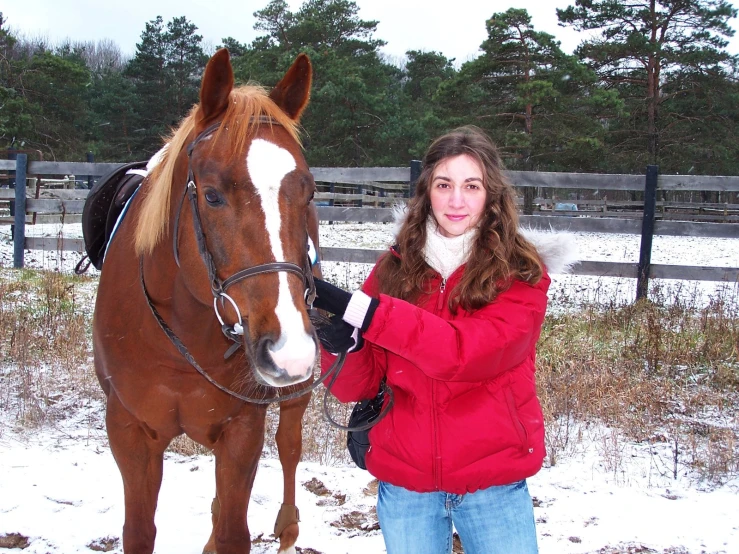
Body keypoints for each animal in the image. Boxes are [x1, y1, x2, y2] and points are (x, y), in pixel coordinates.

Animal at [92, 48, 320, 552]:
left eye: (310, 193)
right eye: (212, 196)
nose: (288, 351)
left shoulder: (242, 430)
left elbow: (235, 531)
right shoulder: (129, 431)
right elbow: (139, 532)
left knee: (290, 443)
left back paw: (288, 524)